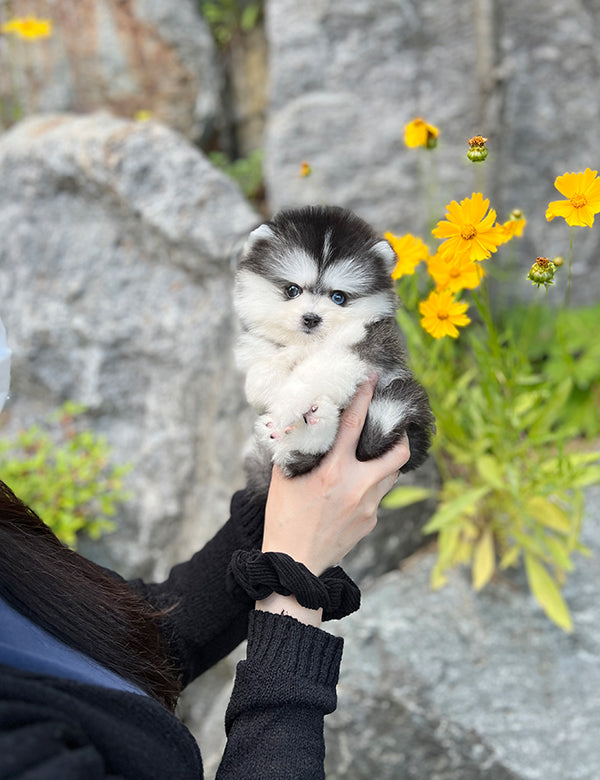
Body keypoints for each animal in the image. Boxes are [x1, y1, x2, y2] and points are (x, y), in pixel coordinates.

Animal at [232, 206, 434, 500]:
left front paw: (289, 402)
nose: (311, 318)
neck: (310, 343)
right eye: (292, 290)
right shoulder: (259, 346)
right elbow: (262, 374)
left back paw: (316, 424)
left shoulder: (368, 350)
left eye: (339, 297)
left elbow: (315, 370)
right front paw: (273, 389)